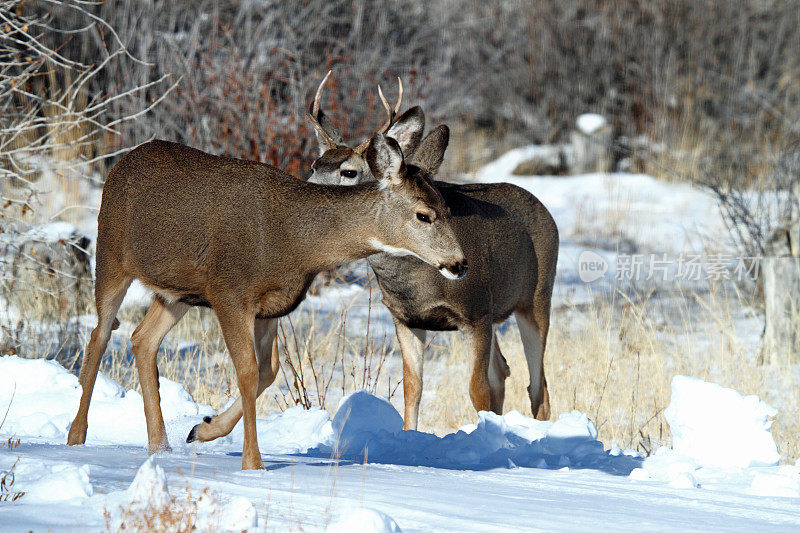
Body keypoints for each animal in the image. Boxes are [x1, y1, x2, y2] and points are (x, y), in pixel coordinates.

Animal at [300, 75, 556, 430]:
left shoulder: (476, 311)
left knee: (537, 384)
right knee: (504, 371)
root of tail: (545, 210)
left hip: (536, 299)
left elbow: (477, 389)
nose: (308, 194)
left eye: (348, 171)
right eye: (314, 164)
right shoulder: (406, 319)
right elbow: (413, 388)